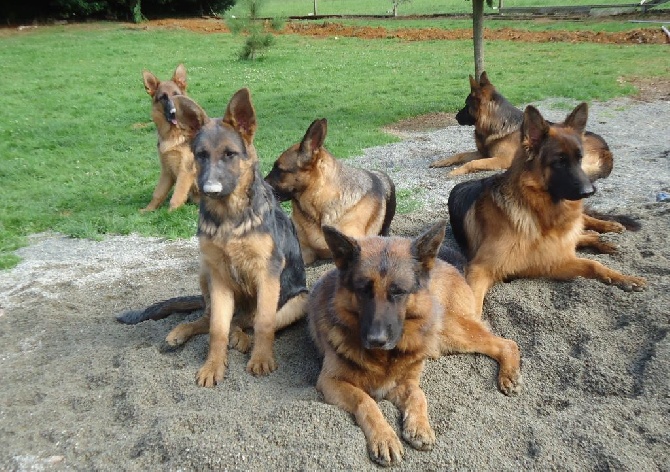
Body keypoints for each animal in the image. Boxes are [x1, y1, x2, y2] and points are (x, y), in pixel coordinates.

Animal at [141, 63, 200, 211]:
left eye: (176, 95)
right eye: (163, 97)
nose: (174, 113)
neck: (173, 135)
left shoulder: (185, 171)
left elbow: (176, 196)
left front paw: (170, 212)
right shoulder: (166, 171)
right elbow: (158, 193)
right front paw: (148, 210)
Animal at [310, 220, 524, 464]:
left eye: (398, 292)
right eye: (363, 290)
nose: (376, 340)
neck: (384, 357)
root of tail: (447, 263)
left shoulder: (405, 382)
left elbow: (418, 394)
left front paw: (419, 426)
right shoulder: (330, 382)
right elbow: (366, 400)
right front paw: (384, 437)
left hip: (449, 329)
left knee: (506, 343)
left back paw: (509, 374)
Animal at [448, 103, 648, 318]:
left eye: (580, 159)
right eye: (559, 161)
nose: (590, 191)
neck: (538, 217)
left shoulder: (554, 261)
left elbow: (593, 264)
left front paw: (624, 277)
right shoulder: (480, 269)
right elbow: (472, 308)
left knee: (584, 225)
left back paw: (608, 230)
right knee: (581, 235)